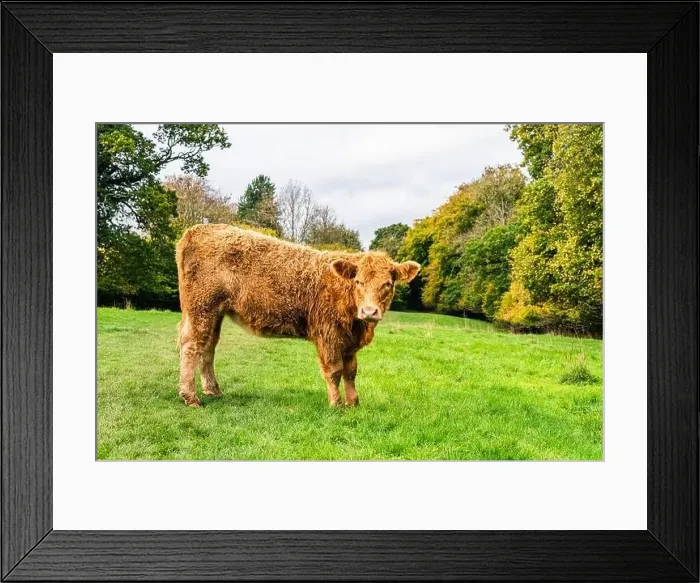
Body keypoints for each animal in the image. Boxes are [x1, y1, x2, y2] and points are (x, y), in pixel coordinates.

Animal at [175, 223, 421, 408]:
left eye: (387, 284)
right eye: (358, 281)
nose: (369, 311)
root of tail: (198, 229)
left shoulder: (349, 342)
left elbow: (351, 372)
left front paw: (354, 403)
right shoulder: (328, 336)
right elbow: (335, 371)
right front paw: (337, 404)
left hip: (214, 313)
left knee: (208, 346)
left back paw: (212, 390)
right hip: (201, 308)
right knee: (192, 345)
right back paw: (191, 397)